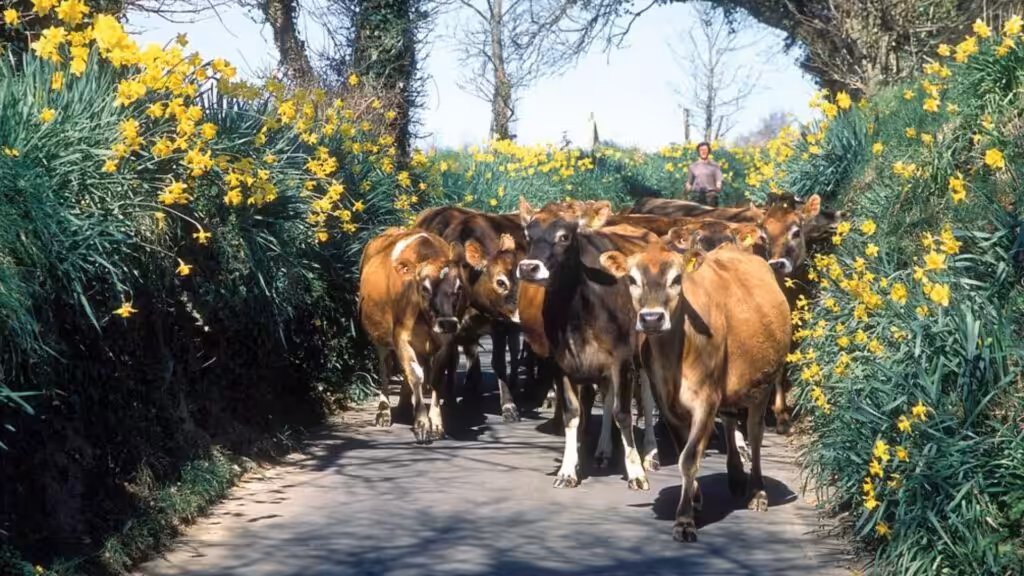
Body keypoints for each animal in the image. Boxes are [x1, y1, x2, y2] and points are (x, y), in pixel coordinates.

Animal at [358, 227, 469, 444]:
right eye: (425, 288)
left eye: (459, 288)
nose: (447, 323)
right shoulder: (401, 339)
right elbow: (416, 376)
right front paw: (421, 424)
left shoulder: (446, 342)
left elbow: (435, 379)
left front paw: (436, 423)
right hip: (380, 338)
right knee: (385, 370)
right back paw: (384, 411)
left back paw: (404, 402)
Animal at [517, 197, 658, 490]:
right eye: (528, 235)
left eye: (564, 237)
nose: (528, 268)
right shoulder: (559, 363)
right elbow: (573, 413)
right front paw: (567, 470)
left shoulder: (622, 360)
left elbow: (623, 413)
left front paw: (636, 472)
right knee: (608, 396)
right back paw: (603, 450)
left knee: (648, 400)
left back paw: (651, 454)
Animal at [598, 241, 791, 542]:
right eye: (631, 279)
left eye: (677, 279)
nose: (652, 318)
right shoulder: (667, 405)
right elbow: (684, 452)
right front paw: (696, 500)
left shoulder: (706, 401)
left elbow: (688, 458)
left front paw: (684, 520)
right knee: (730, 419)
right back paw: (736, 476)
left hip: (763, 385)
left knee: (755, 433)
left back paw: (758, 492)